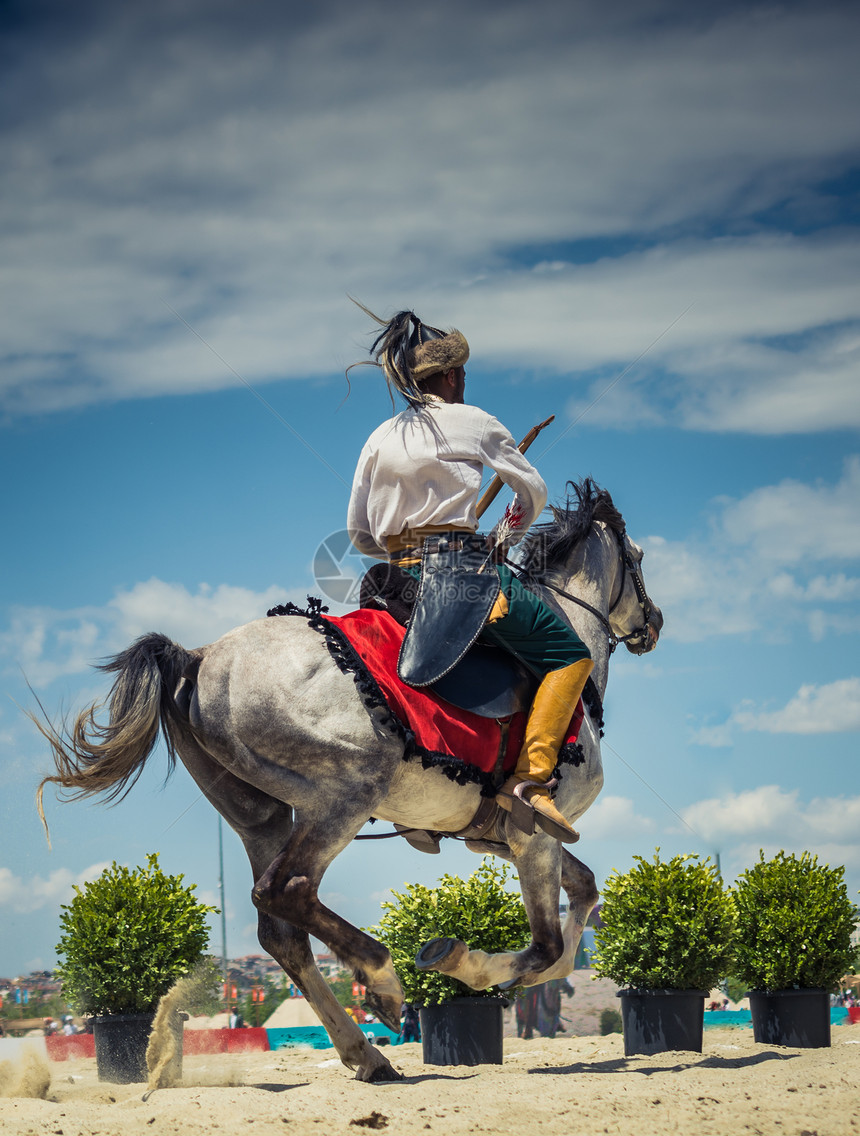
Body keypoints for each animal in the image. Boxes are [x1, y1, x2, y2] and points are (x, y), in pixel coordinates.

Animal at [36, 479, 658, 1081]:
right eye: (638, 557)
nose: (653, 623)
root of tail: (199, 657)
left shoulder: (501, 837)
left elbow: (582, 894)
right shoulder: (534, 833)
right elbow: (547, 944)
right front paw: (467, 963)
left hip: (264, 817)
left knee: (280, 932)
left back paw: (366, 1052)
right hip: (344, 798)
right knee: (288, 891)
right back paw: (382, 981)